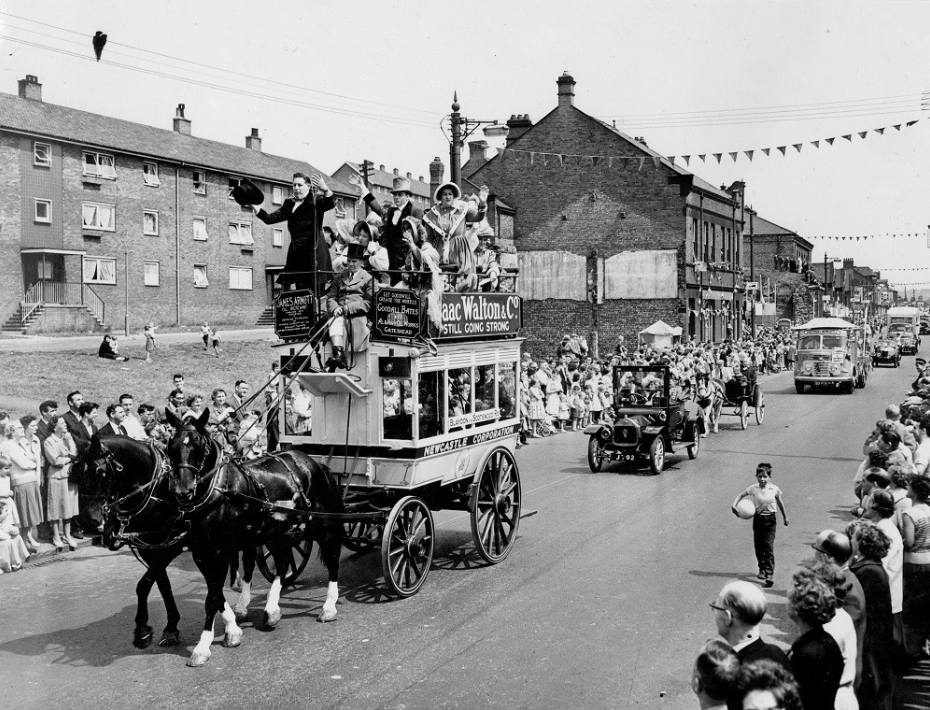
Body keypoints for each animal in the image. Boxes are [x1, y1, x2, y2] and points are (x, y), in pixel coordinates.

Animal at [79, 434, 186, 652]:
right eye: (78, 471)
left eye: (100, 471)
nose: (89, 520)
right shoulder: (151, 548)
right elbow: (162, 584)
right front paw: (169, 626)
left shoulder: (172, 546)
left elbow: (144, 585)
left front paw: (142, 630)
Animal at [163, 408, 344, 672]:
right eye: (171, 445)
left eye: (200, 446)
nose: (182, 491)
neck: (220, 492)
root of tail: (311, 461)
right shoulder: (201, 554)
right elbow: (217, 595)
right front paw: (232, 628)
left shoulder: (220, 552)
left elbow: (212, 597)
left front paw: (202, 647)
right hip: (276, 532)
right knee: (282, 563)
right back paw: (271, 609)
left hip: (321, 524)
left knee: (331, 559)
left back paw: (328, 606)